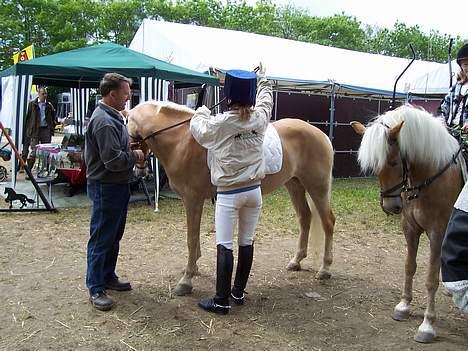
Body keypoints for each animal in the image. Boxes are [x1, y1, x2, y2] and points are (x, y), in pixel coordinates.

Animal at [126, 101, 334, 296]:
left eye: (126, 125)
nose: (139, 170)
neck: (181, 140)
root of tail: (321, 135)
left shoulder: (192, 199)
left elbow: (191, 239)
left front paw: (186, 280)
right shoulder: (194, 201)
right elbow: (194, 238)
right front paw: (193, 269)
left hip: (317, 187)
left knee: (328, 222)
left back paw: (325, 269)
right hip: (295, 185)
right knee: (305, 218)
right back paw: (296, 261)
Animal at [352, 105, 462, 344]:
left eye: (394, 162)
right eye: (375, 167)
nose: (391, 207)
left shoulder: (437, 233)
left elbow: (431, 278)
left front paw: (427, 325)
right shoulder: (410, 229)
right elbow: (409, 266)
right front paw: (403, 306)